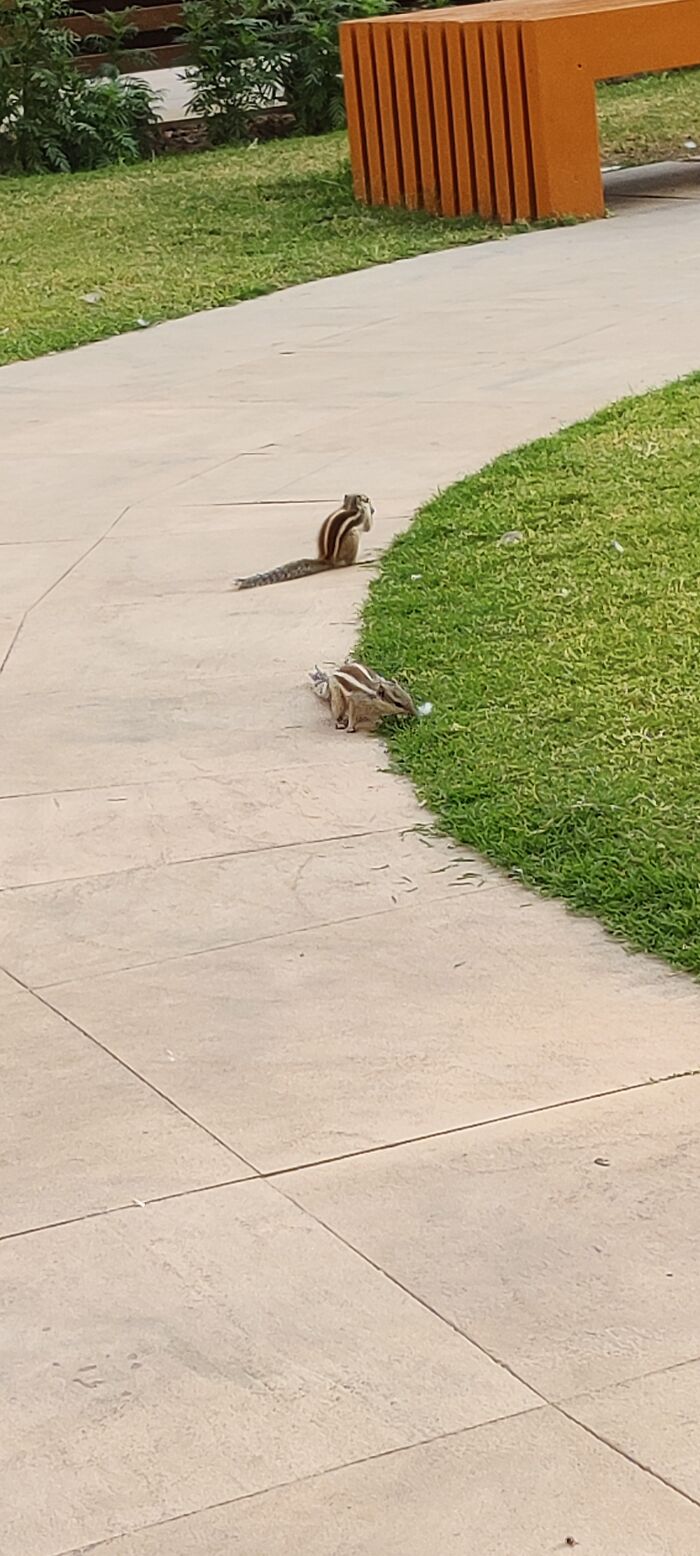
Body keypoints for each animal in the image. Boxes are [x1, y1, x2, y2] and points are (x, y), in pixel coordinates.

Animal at [232, 494, 374, 590]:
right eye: (366, 498)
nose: (373, 508)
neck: (350, 506)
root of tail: (327, 559)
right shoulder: (362, 516)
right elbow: (367, 527)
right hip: (353, 536)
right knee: (349, 562)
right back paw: (362, 560)